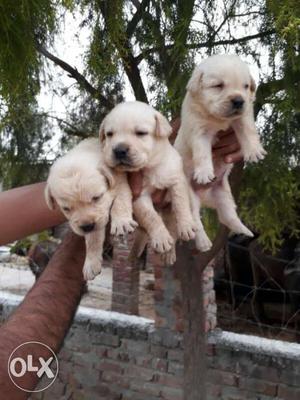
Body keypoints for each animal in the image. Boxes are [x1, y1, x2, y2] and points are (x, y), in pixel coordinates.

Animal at [44, 139, 136, 280]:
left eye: (97, 197)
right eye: (66, 208)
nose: (87, 226)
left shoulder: (119, 181)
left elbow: (120, 200)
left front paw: (122, 222)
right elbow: (93, 238)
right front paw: (91, 263)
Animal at [99, 101, 198, 255]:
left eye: (141, 133)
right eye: (109, 134)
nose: (119, 150)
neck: (150, 167)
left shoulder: (177, 179)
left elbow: (181, 203)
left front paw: (186, 225)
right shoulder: (140, 196)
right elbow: (151, 217)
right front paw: (161, 238)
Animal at [175, 52, 266, 247]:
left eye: (245, 86)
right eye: (218, 85)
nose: (239, 100)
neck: (217, 118)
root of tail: (204, 196)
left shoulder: (243, 117)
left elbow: (248, 131)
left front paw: (254, 151)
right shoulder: (199, 131)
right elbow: (202, 153)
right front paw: (204, 172)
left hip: (224, 196)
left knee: (227, 217)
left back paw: (244, 231)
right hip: (190, 197)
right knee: (196, 220)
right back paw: (203, 243)